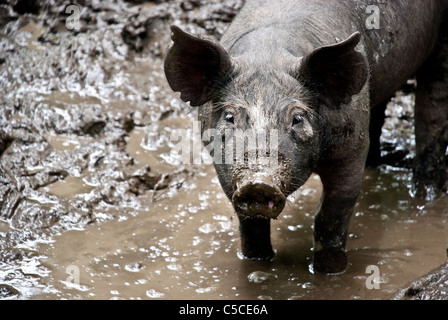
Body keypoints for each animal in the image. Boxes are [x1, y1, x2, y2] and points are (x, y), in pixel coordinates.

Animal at [164, 0, 448, 276]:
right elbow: (250, 225)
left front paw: (329, 274)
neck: (269, 53)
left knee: (432, 108)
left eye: (298, 118)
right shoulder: (224, 169)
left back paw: (425, 196)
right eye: (230, 116)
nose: (258, 182)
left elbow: (331, 215)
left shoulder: (351, 148)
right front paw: (257, 265)